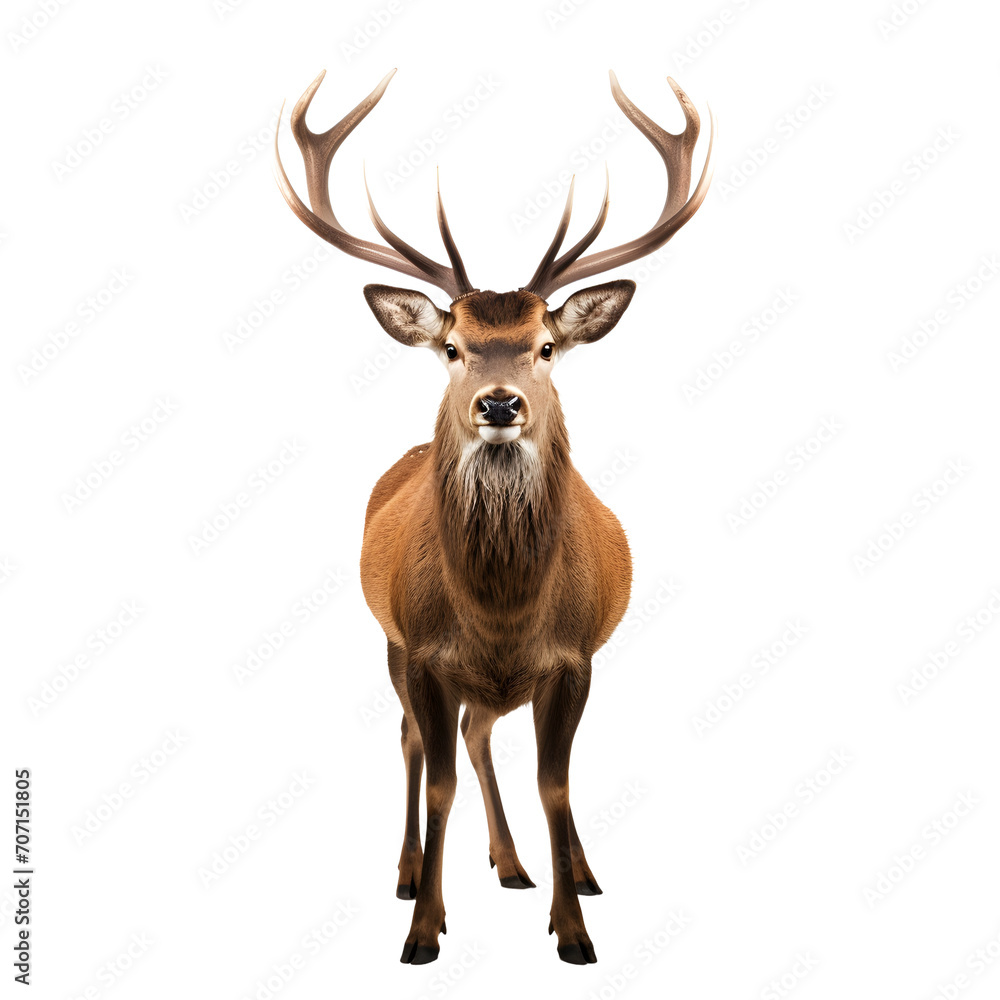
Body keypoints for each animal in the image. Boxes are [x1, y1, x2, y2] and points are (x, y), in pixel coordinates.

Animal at [273, 67, 713, 966]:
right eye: (452, 346)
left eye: (547, 345)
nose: (501, 402)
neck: (502, 610)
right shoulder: (421, 650)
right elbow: (438, 777)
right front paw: (422, 929)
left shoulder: (576, 657)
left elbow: (556, 782)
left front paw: (573, 928)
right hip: (389, 643)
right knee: (417, 740)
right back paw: (415, 871)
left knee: (483, 733)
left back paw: (532, 867)